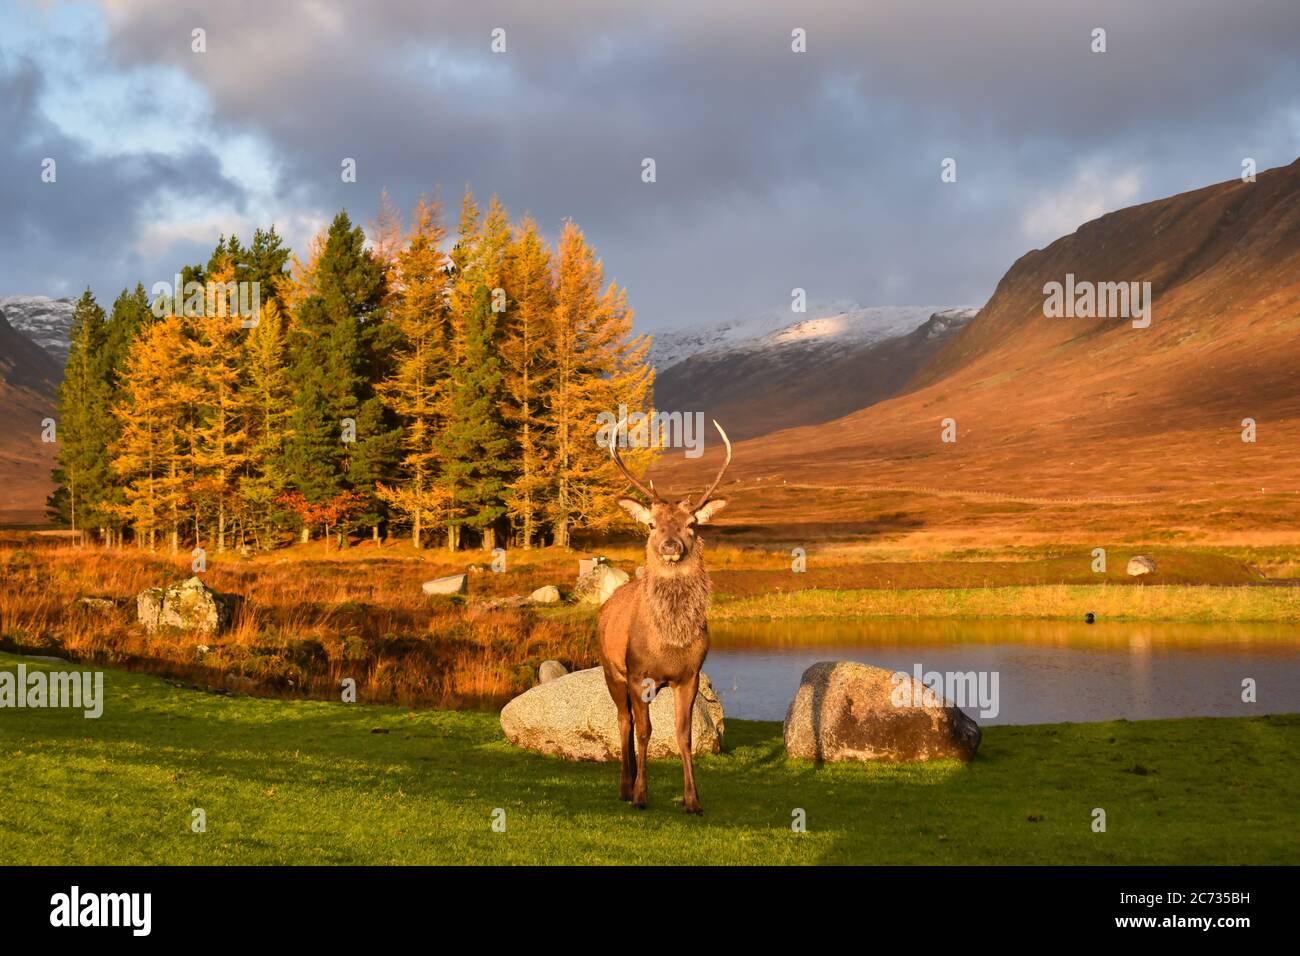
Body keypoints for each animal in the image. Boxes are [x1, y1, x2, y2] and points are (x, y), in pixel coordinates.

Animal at [596, 418, 732, 814]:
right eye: (652, 525)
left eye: (692, 524)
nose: (672, 545)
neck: (668, 644)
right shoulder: (638, 672)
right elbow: (645, 732)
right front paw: (642, 795)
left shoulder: (690, 676)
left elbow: (683, 735)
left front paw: (693, 800)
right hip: (611, 670)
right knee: (624, 721)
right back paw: (625, 788)